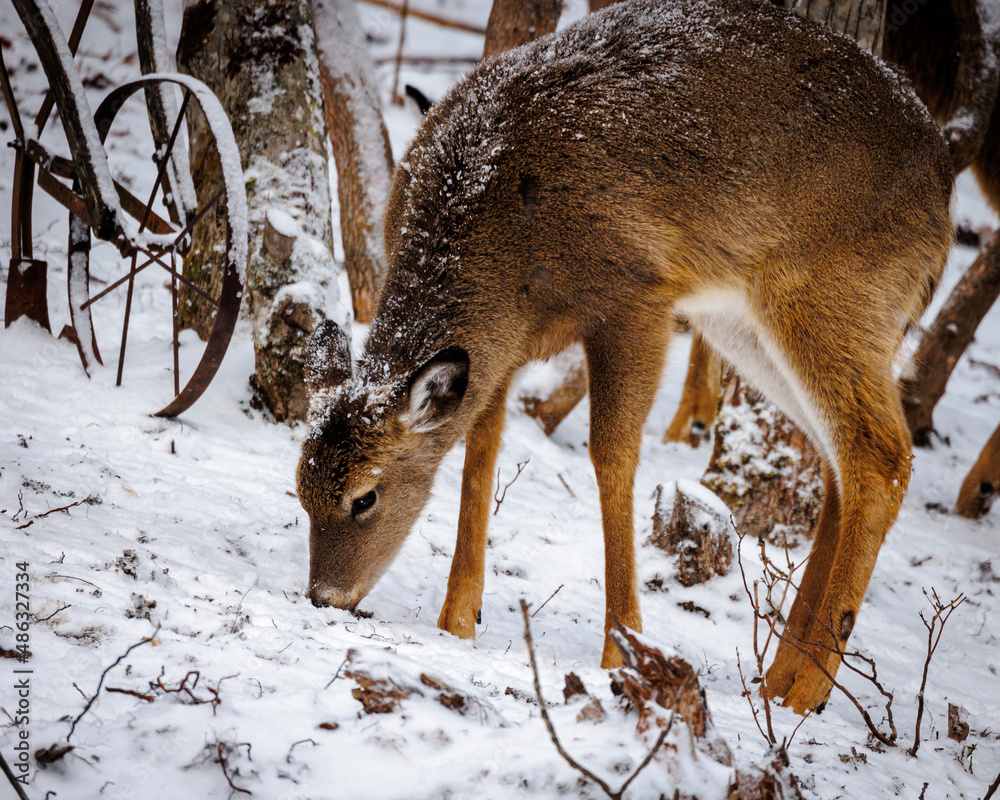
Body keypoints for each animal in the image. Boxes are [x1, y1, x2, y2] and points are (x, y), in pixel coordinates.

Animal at [297, 0, 954, 715]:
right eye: (300, 490)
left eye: (364, 497)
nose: (322, 597)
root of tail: (945, 183)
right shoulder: (502, 346)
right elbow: (481, 447)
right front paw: (457, 620)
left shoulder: (636, 296)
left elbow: (610, 455)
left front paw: (622, 649)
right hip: (742, 320)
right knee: (836, 458)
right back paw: (779, 678)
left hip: (835, 294)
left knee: (880, 455)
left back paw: (804, 690)